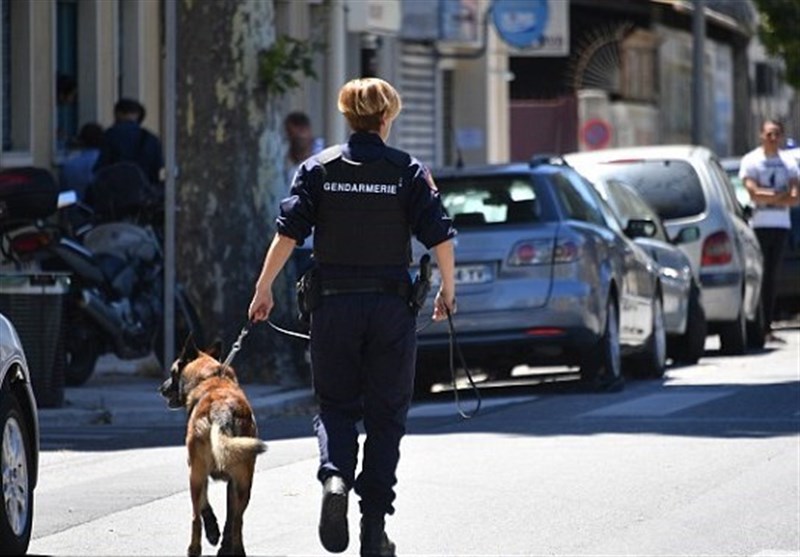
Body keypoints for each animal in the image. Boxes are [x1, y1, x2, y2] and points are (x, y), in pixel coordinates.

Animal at [160, 338, 268, 556]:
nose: (161, 388)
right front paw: (221, 538)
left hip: (196, 475)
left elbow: (204, 506)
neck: (211, 377)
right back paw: (235, 549)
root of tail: (221, 411)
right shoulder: (230, 482)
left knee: (195, 517)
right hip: (244, 482)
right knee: (237, 520)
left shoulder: (196, 470)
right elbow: (229, 515)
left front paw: (212, 532)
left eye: (173, 372)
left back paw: (194, 548)